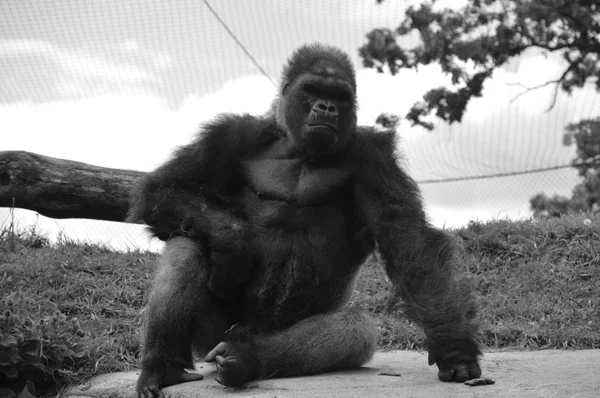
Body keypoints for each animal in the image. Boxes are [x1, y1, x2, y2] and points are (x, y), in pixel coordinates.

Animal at [131, 43, 482, 398]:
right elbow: (164, 188)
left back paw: (247, 359)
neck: (298, 146)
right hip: (212, 337)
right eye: (311, 90)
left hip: (248, 335)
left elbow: (409, 240)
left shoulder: (375, 155)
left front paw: (454, 347)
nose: (326, 107)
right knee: (186, 241)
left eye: (338, 95)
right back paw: (164, 366)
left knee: (355, 329)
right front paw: (232, 240)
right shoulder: (230, 135)